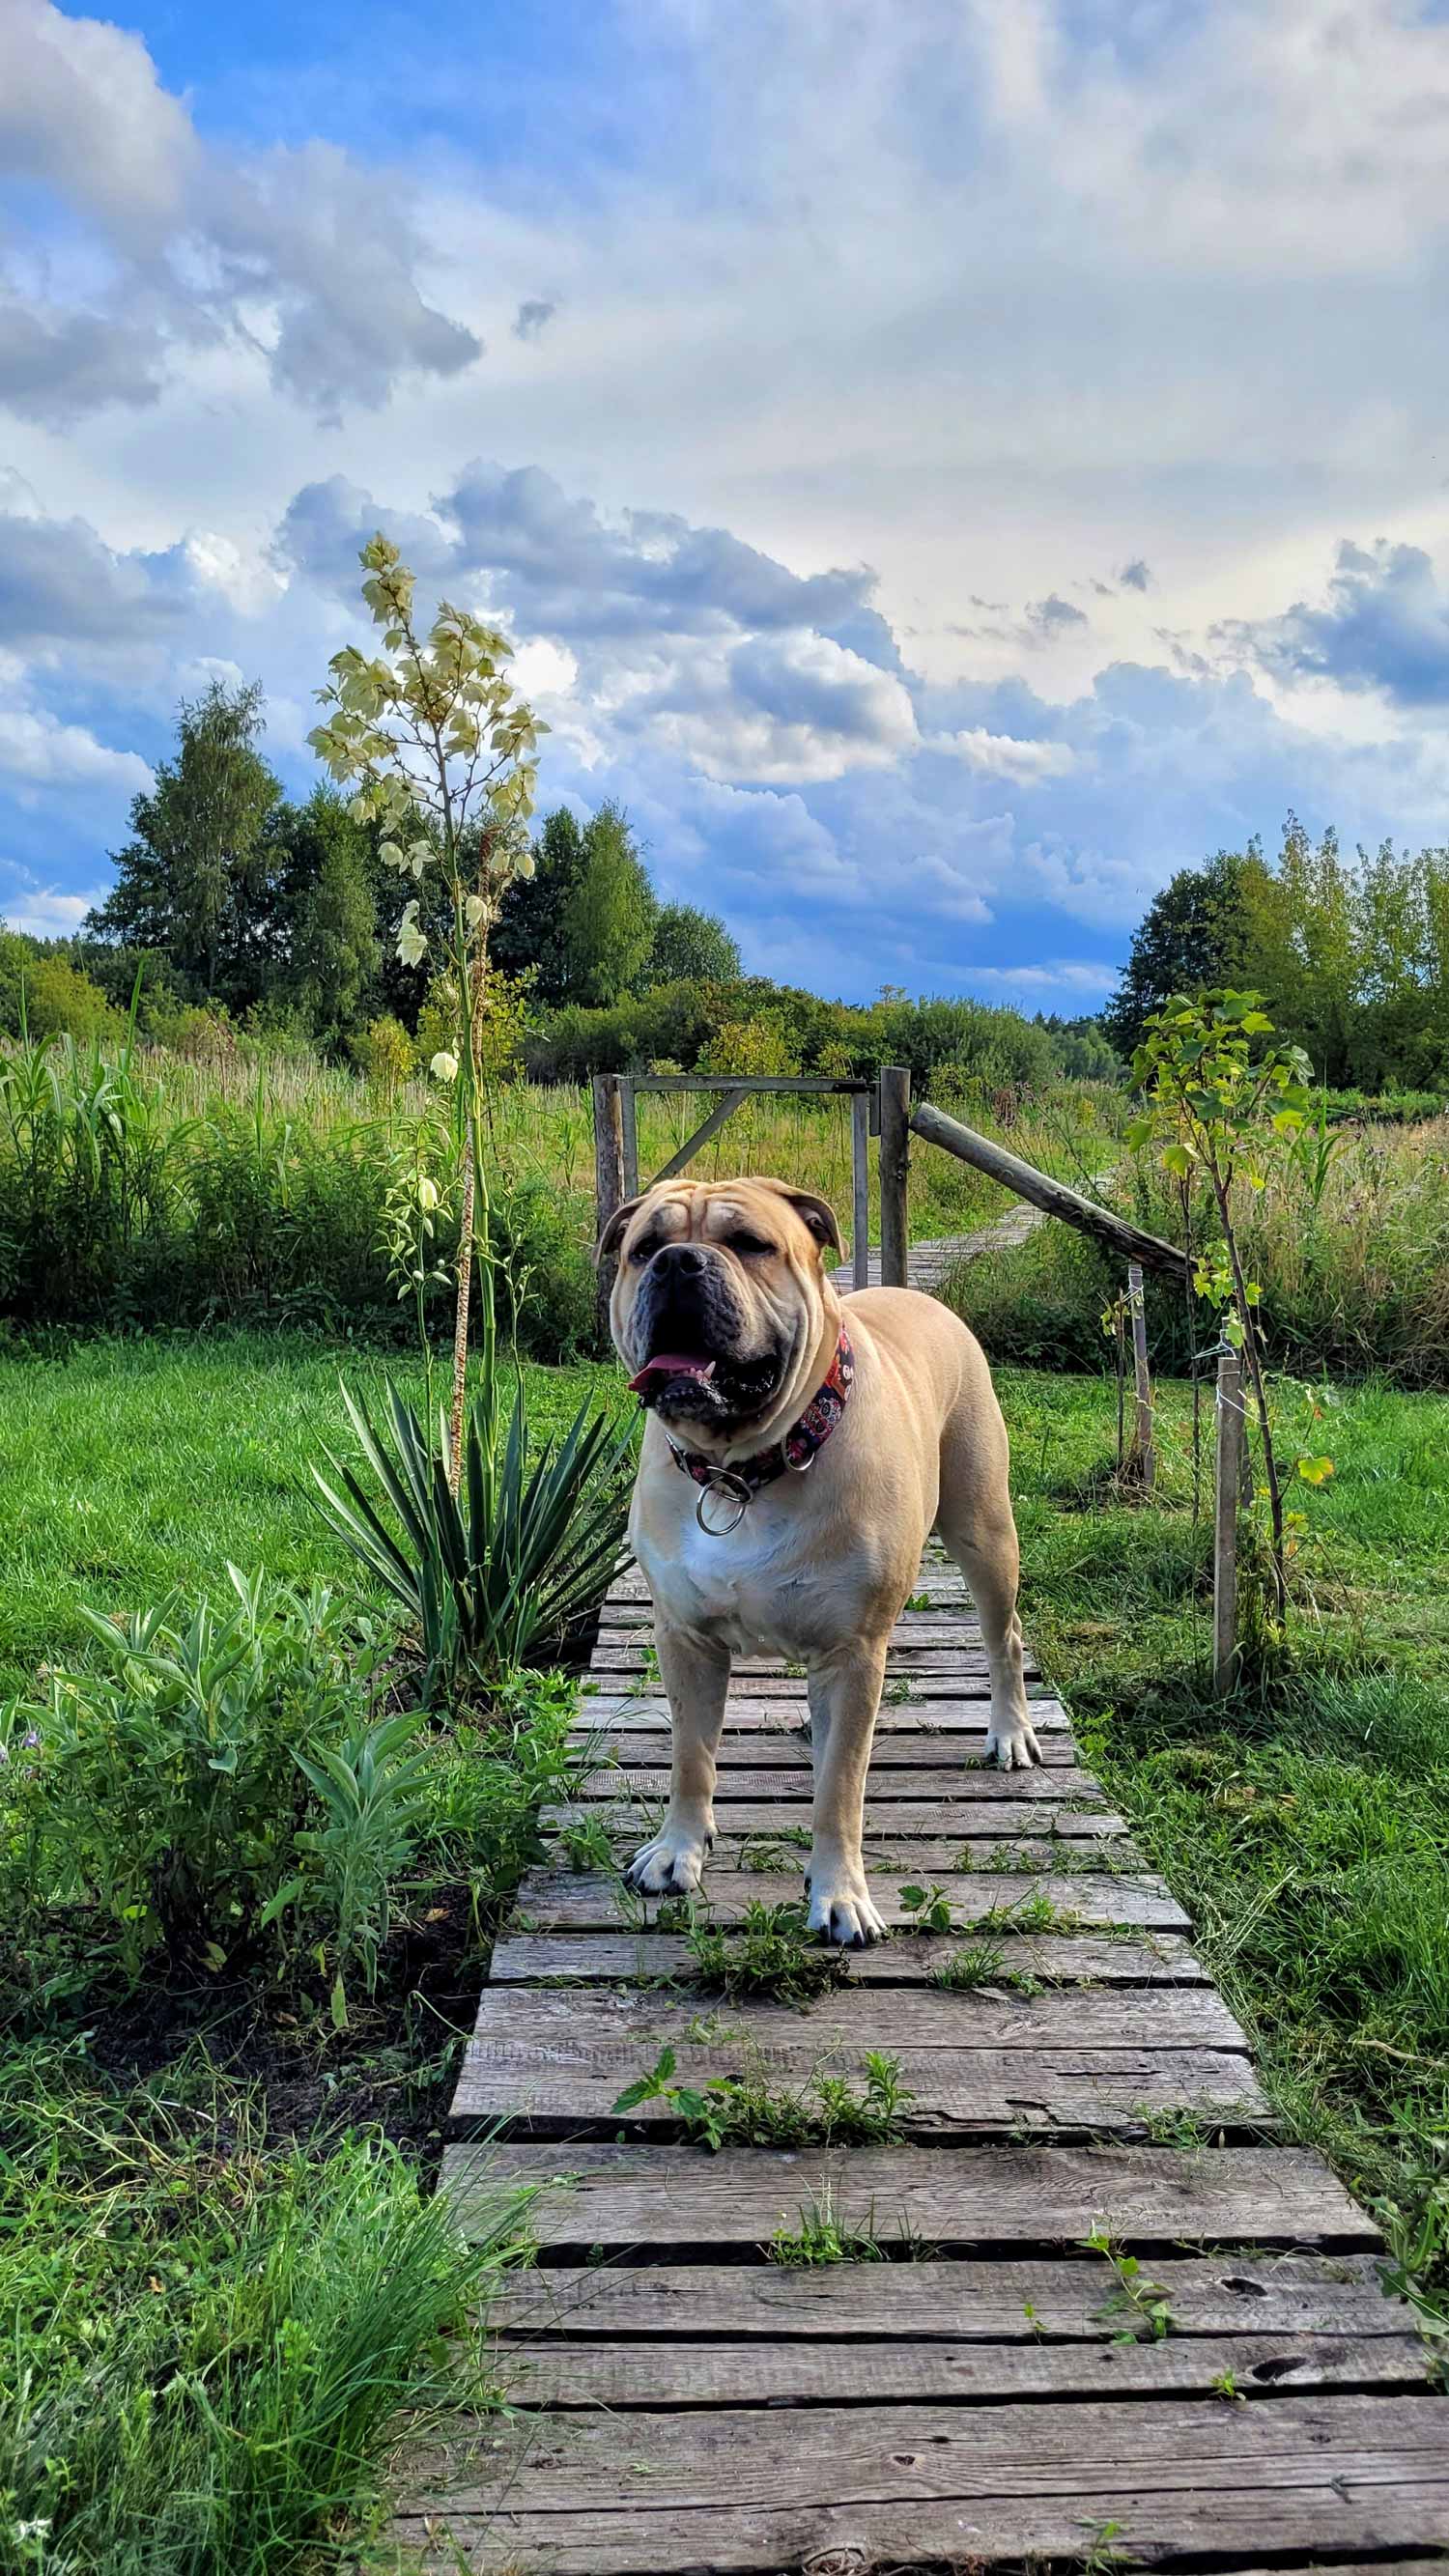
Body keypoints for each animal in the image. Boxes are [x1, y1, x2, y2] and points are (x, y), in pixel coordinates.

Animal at [598, 1179, 1036, 1937]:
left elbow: (839, 1785)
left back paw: (1009, 1733)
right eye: (644, 1248)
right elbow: (691, 1756)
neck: (742, 1468)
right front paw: (678, 1848)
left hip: (983, 1530)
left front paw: (839, 1893)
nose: (680, 1262)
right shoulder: (685, 1639)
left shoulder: (852, 1650)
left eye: (750, 1244)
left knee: (1002, 1635)